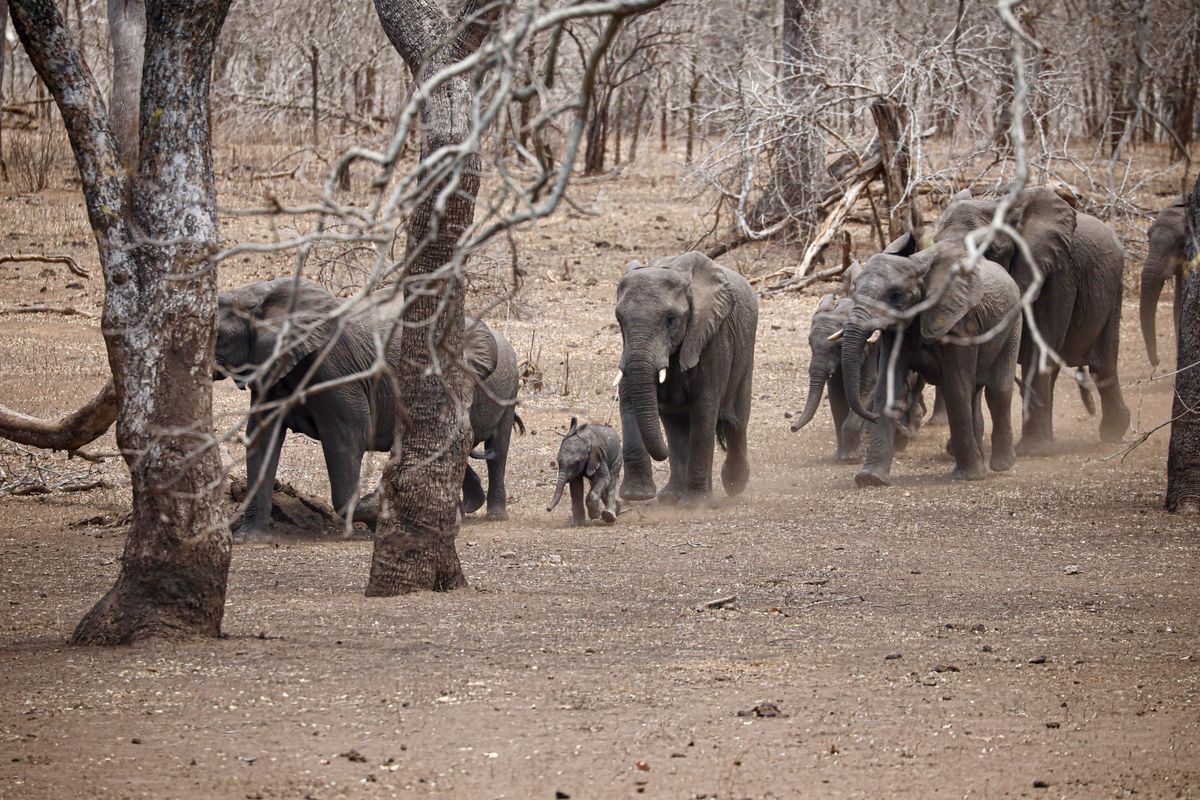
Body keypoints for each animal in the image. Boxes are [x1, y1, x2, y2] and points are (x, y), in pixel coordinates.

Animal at [214, 278, 520, 540]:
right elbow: (261, 439)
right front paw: (248, 538)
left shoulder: (335, 372)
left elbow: (347, 439)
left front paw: (379, 511)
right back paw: (464, 509)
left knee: (498, 450)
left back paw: (491, 514)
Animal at [615, 251, 758, 505]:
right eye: (619, 319)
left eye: (671, 319)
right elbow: (630, 398)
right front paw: (637, 495)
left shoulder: (712, 337)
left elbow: (704, 408)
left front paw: (695, 505)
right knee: (675, 425)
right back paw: (670, 497)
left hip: (746, 351)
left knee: (736, 422)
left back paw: (734, 485)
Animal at [841, 233, 1021, 486]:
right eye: (854, 289)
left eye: (896, 295)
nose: (872, 417)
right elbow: (887, 386)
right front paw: (871, 479)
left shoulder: (961, 323)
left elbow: (956, 389)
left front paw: (969, 476)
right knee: (974, 392)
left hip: (1012, 324)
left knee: (997, 391)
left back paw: (1000, 465)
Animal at [933, 187, 1130, 451]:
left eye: (988, 252)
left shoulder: (1057, 274)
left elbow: (1039, 349)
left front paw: (1032, 451)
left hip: (1114, 285)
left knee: (1102, 362)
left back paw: (1113, 432)